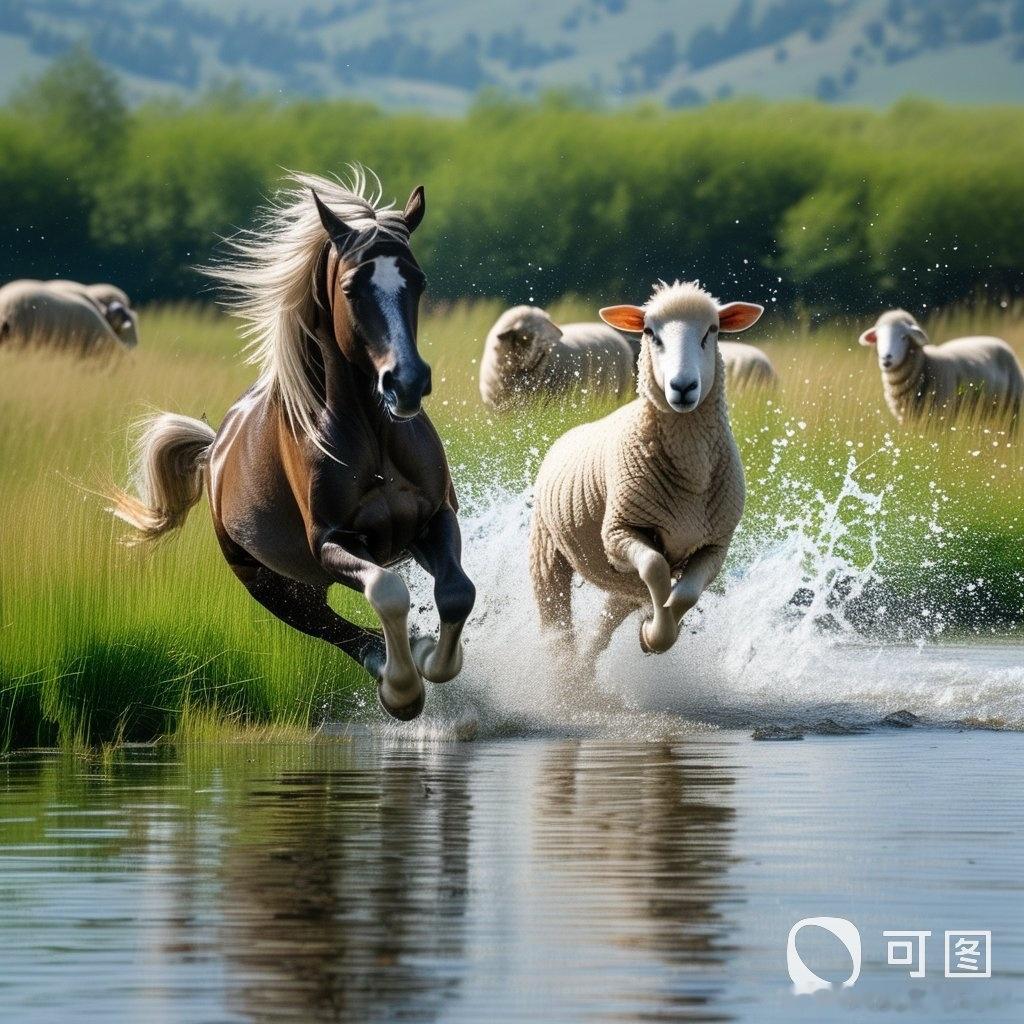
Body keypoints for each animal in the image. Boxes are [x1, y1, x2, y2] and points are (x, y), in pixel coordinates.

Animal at [111, 169, 475, 721]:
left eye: (418, 281)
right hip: (277, 589)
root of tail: (215, 452)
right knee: (340, 632)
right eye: (351, 287)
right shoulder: (330, 542)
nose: (407, 382)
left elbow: (456, 592)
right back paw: (394, 674)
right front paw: (406, 687)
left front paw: (434, 658)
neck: (373, 438)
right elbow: (387, 590)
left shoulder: (435, 517)